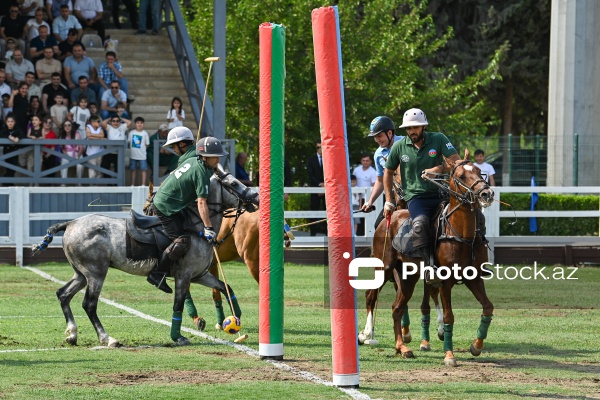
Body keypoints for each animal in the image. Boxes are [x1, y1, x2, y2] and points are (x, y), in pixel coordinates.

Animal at [30, 166, 258, 346]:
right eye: (234, 183)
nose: (255, 198)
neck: (198, 226)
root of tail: (70, 223)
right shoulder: (184, 276)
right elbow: (178, 304)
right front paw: (178, 337)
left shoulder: (199, 275)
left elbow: (225, 287)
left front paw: (236, 317)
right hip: (96, 273)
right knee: (89, 304)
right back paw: (107, 338)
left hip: (81, 273)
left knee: (63, 294)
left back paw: (72, 334)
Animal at [382, 159, 494, 366]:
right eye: (461, 176)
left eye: (478, 171)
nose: (486, 193)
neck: (462, 233)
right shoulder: (445, 281)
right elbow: (449, 316)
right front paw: (449, 355)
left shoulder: (473, 278)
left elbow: (488, 307)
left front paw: (476, 345)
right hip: (385, 268)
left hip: (408, 277)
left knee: (397, 307)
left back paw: (402, 347)